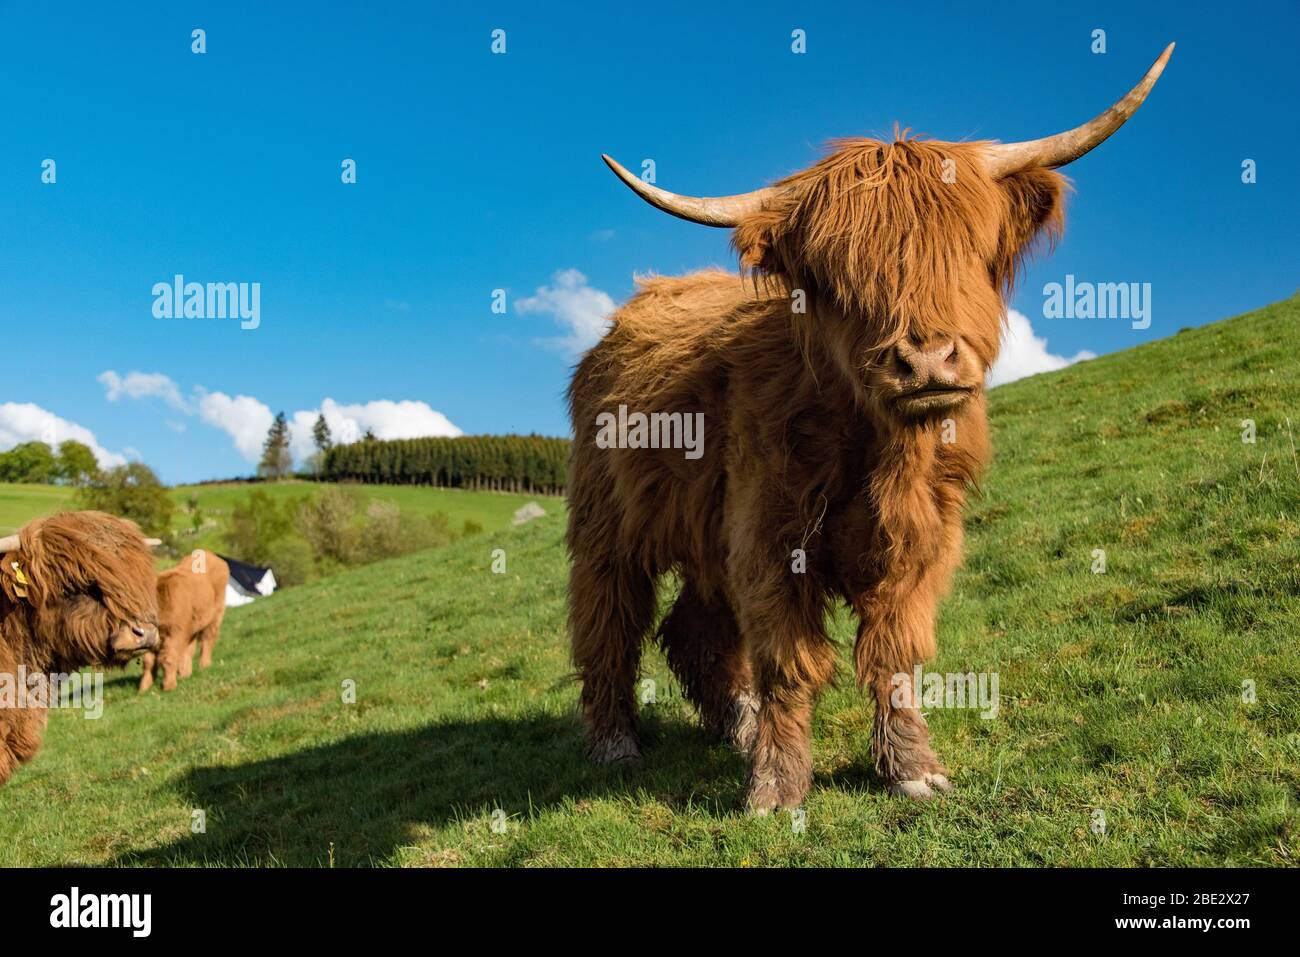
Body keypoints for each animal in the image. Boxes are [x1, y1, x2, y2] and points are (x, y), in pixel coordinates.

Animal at [139, 548, 228, 691]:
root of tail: (209, 553)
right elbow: (148, 662)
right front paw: (144, 688)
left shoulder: (176, 632)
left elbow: (168, 657)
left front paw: (169, 686)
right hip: (192, 625)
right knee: (189, 649)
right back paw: (185, 673)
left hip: (215, 615)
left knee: (207, 640)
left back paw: (204, 665)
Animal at [569, 41, 1180, 811]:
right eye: (840, 275)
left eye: (966, 250)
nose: (924, 360)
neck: (880, 451)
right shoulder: (767, 536)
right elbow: (788, 661)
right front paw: (776, 788)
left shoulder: (923, 538)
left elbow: (895, 654)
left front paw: (912, 767)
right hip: (606, 524)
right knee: (608, 621)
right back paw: (615, 741)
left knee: (695, 630)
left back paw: (737, 723)